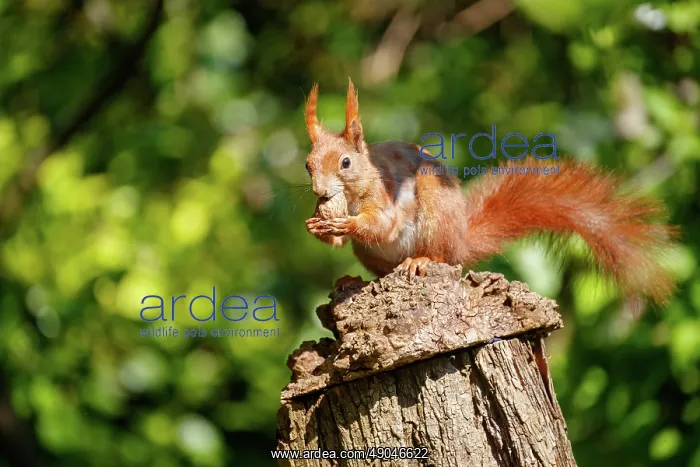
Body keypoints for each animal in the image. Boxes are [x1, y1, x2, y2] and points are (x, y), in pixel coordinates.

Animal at [304, 79, 678, 311]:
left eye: (346, 162)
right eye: (308, 165)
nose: (319, 191)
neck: (353, 195)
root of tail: (461, 240)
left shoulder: (385, 197)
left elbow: (383, 225)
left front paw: (346, 224)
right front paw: (316, 226)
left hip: (436, 211)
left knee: (440, 255)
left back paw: (422, 260)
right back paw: (354, 280)